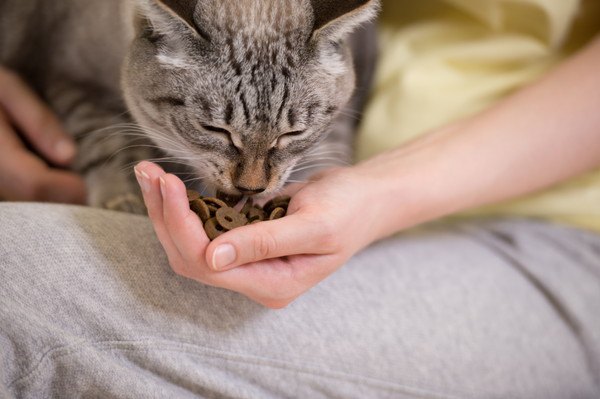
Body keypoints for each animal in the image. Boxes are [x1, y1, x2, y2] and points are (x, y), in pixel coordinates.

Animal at [0, 0, 380, 212]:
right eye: (215, 130)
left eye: (292, 134)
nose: (252, 189)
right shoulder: (68, 77)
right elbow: (106, 140)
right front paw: (125, 199)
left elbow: (330, 147)